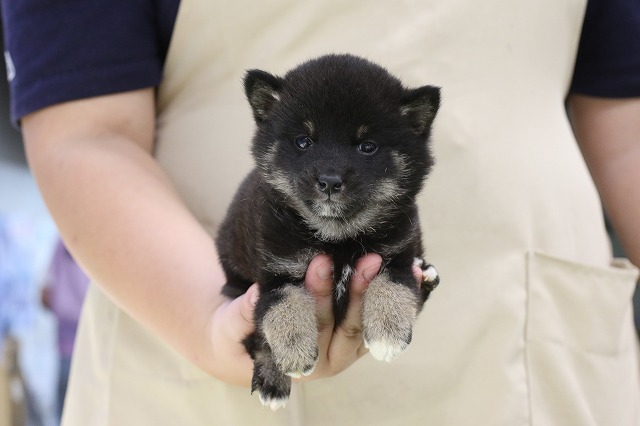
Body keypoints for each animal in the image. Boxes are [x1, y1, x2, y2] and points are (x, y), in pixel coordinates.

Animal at [218, 54, 442, 410]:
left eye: (367, 146)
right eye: (303, 141)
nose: (330, 181)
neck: (337, 238)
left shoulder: (397, 254)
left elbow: (394, 285)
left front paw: (388, 333)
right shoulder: (276, 273)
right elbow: (281, 311)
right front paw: (292, 357)